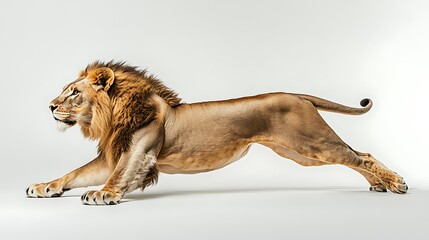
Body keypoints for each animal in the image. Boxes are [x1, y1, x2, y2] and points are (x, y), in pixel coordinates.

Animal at [25, 61, 408, 205]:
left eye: (73, 93)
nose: (49, 106)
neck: (113, 114)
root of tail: (297, 94)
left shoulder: (138, 155)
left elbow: (116, 178)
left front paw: (103, 193)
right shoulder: (111, 157)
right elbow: (74, 174)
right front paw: (44, 187)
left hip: (311, 143)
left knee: (359, 155)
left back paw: (396, 183)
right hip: (300, 153)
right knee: (357, 156)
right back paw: (380, 184)